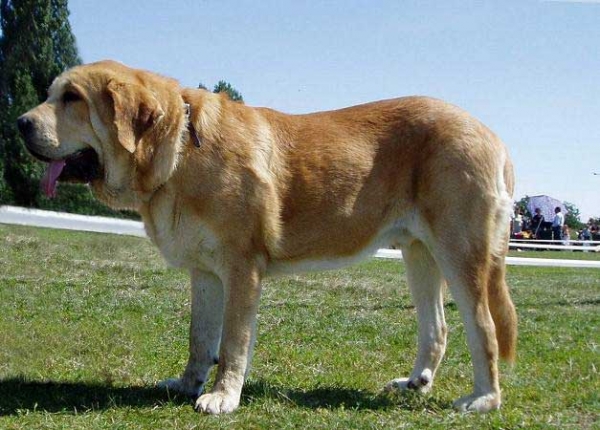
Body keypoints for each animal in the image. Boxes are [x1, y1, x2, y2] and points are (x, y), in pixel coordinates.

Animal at [17, 60, 516, 414]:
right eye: (51, 95)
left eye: (72, 98)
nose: (21, 122)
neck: (178, 150)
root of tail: (494, 137)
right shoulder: (205, 273)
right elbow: (200, 337)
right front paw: (187, 383)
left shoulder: (242, 269)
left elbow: (233, 342)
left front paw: (222, 397)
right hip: (419, 254)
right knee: (437, 327)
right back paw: (415, 382)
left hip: (461, 253)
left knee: (484, 327)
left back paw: (483, 400)